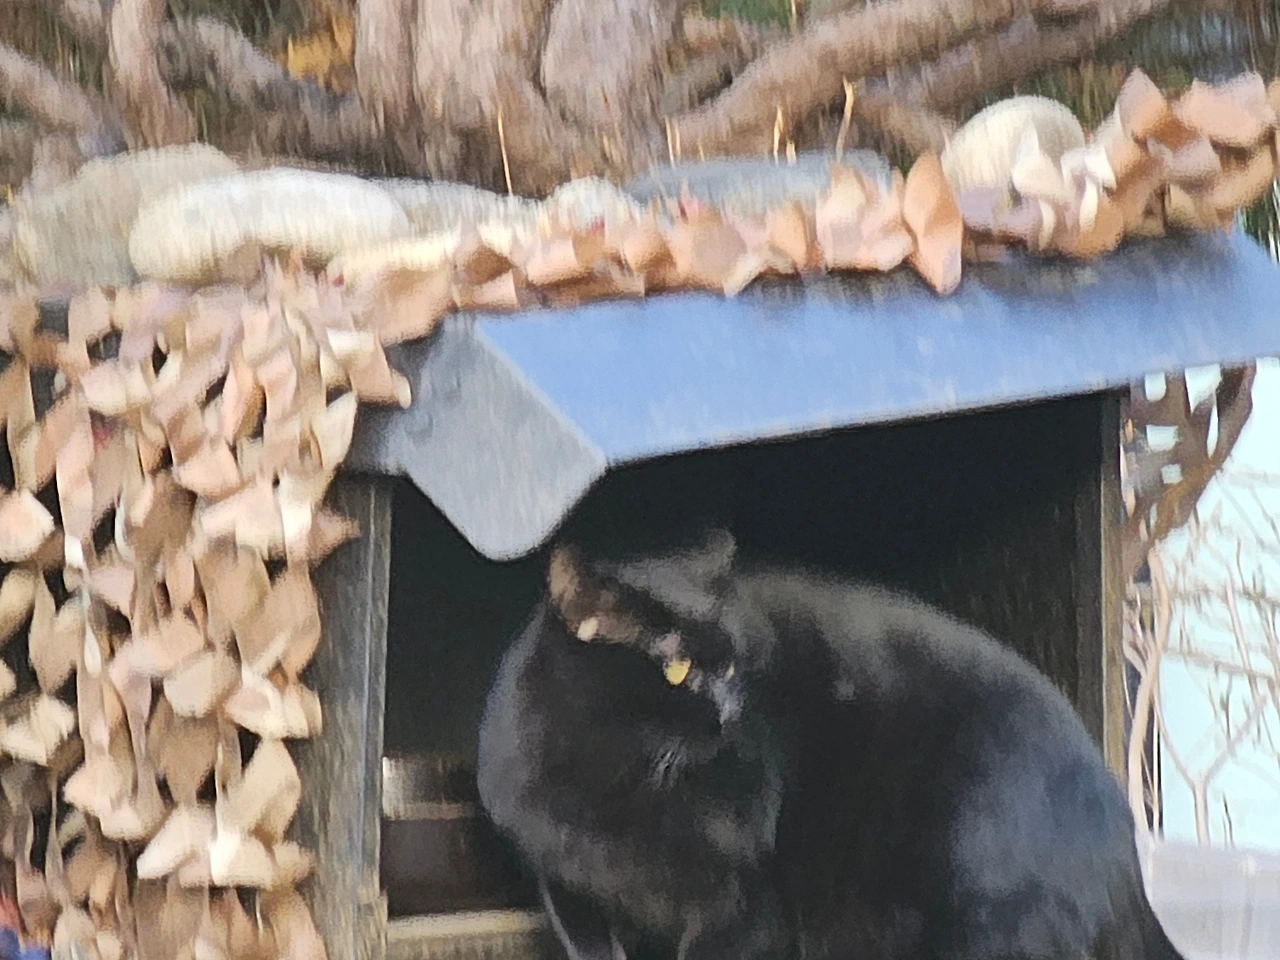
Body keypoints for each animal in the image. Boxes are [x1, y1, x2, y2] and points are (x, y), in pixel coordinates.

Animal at [476, 530, 1187, 960]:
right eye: (676, 670)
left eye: (729, 665)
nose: (730, 712)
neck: (616, 777)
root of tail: (1129, 861)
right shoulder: (561, 881)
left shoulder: (747, 904)